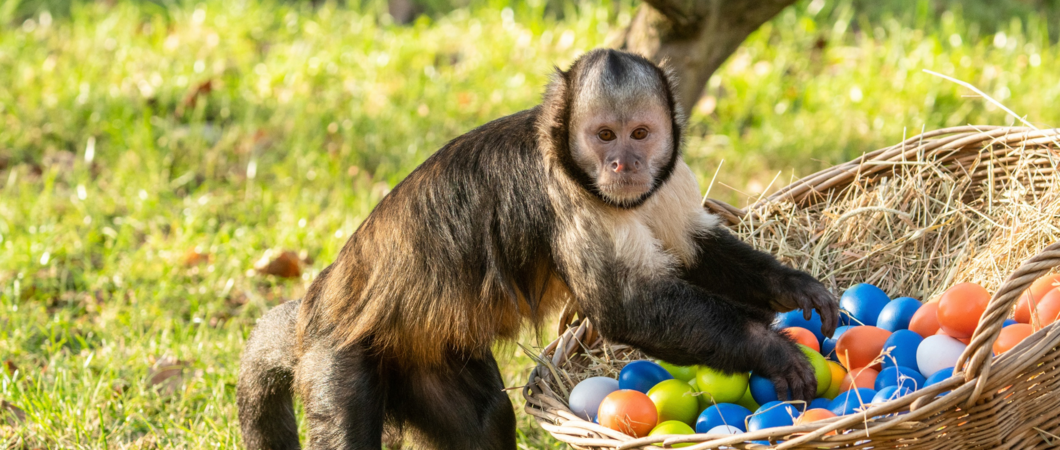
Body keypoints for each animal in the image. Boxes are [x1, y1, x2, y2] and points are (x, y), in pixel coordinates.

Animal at [238, 47, 835, 446]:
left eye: (640, 134)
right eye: (604, 135)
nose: (623, 164)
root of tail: (317, 303)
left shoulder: (664, 179)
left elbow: (694, 250)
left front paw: (795, 287)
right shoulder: (561, 194)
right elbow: (626, 308)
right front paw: (771, 348)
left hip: (417, 359)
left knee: (484, 419)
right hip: (336, 357)